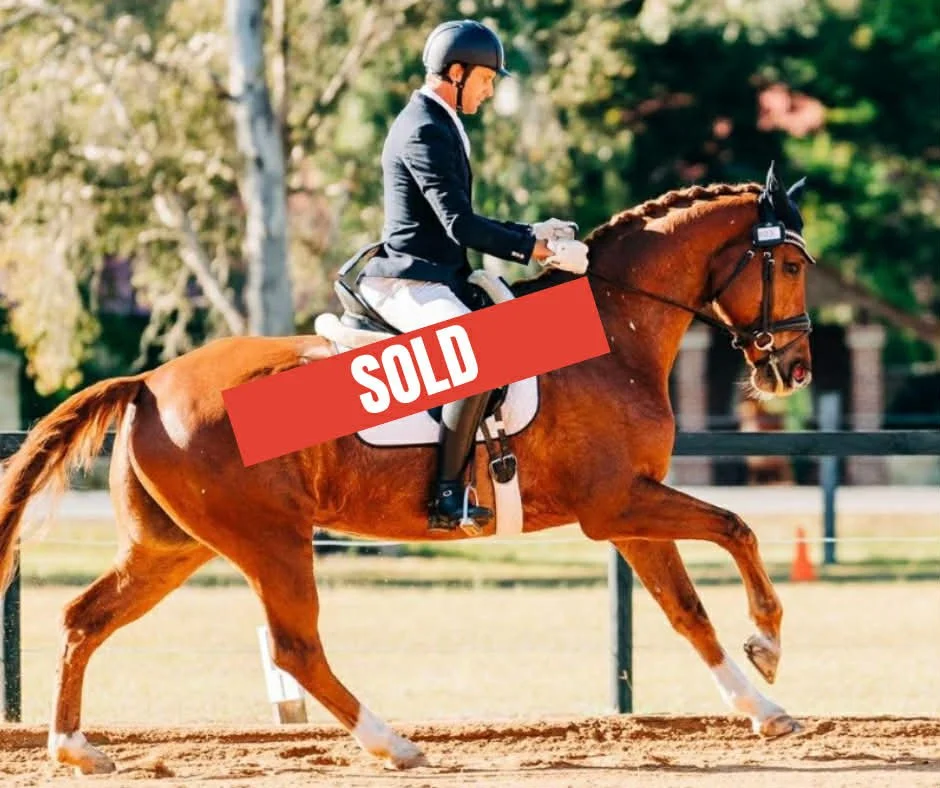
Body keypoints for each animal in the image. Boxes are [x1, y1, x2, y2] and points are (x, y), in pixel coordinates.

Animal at [0, 162, 817, 775]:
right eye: (791, 264)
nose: (795, 368)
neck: (612, 332)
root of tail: (148, 382)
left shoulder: (628, 513)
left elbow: (688, 610)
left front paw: (764, 708)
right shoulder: (617, 503)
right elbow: (736, 529)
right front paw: (770, 646)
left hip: (171, 546)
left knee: (84, 618)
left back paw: (73, 749)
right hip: (270, 541)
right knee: (296, 649)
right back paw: (393, 743)